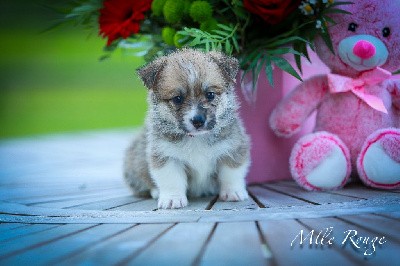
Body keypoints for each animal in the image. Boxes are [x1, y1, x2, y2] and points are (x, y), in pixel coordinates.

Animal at [124, 48, 250, 209]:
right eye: (177, 99)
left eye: (210, 95)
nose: (198, 121)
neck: (196, 138)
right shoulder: (165, 155)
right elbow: (171, 179)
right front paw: (172, 199)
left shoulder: (232, 148)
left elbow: (231, 173)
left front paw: (232, 192)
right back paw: (156, 191)